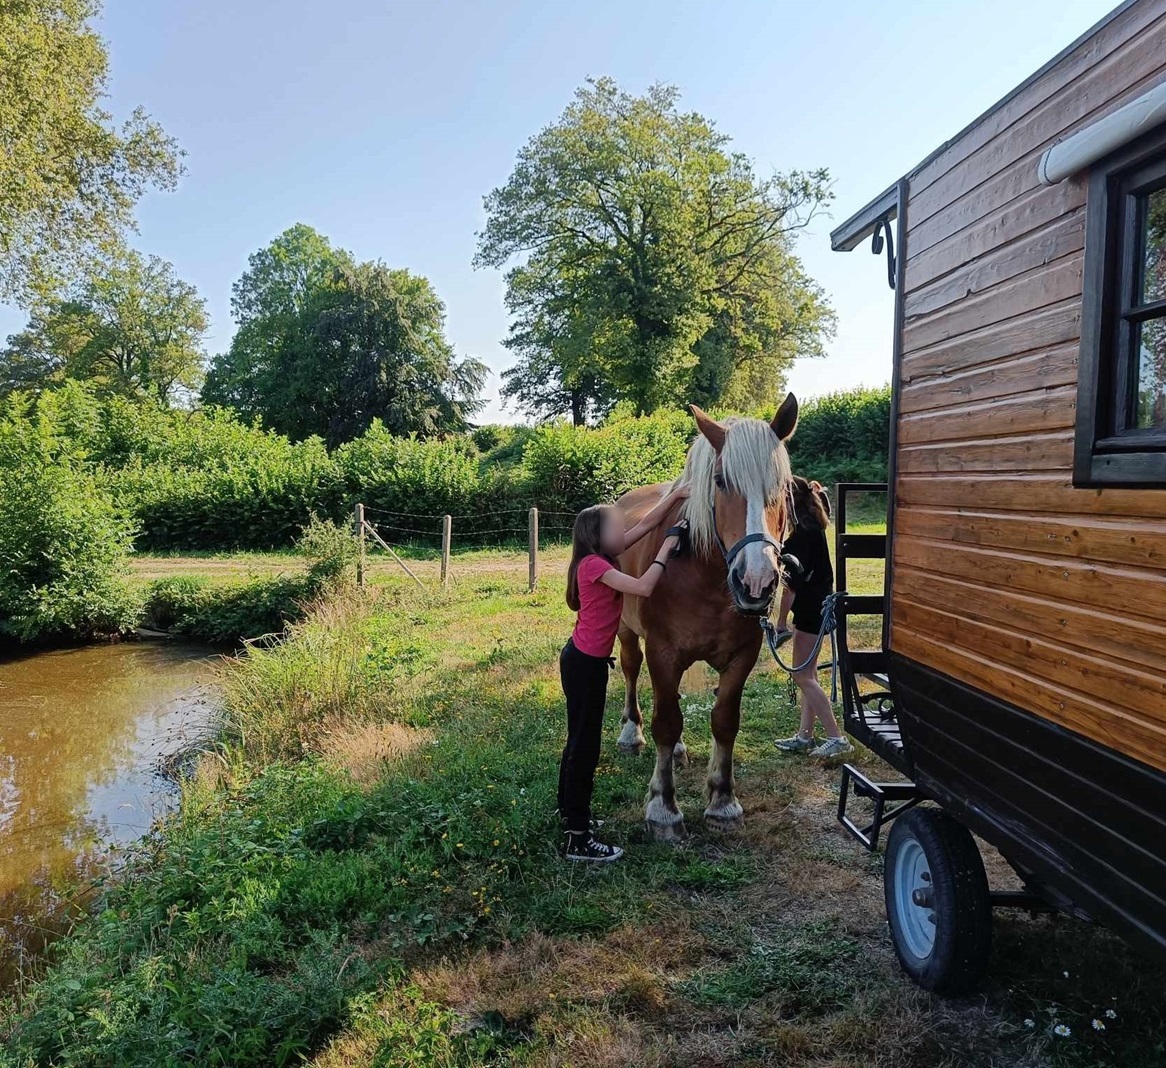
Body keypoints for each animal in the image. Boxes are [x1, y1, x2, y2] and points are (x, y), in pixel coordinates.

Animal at [614, 394, 798, 839]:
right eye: (720, 482)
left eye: (783, 487)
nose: (756, 580)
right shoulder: (662, 652)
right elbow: (665, 723)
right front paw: (663, 808)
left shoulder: (743, 656)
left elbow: (724, 721)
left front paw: (723, 801)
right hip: (627, 632)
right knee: (631, 671)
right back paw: (630, 733)